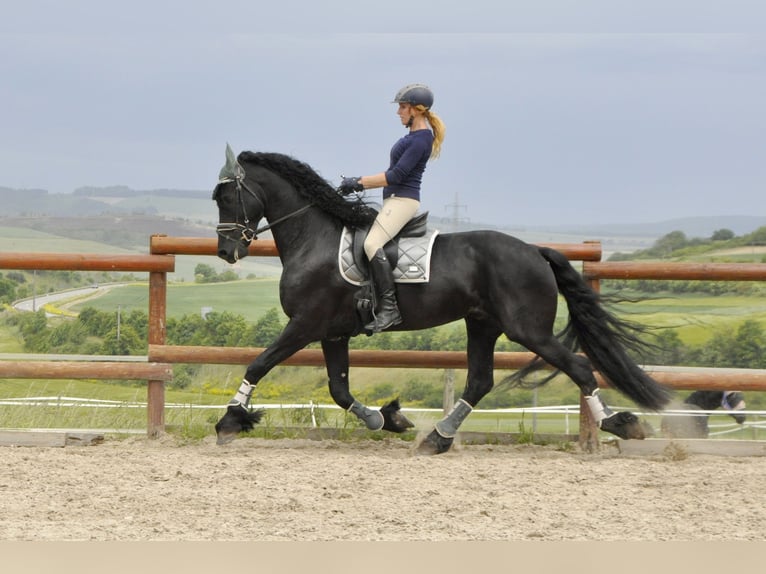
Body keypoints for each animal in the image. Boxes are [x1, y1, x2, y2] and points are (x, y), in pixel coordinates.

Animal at [211, 145, 671, 454]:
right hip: (483, 323)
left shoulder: (305, 324)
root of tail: (534, 250)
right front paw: (386, 418)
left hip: (528, 330)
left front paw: (230, 421)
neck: (314, 239)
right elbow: (339, 389)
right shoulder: (332, 332)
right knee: (480, 380)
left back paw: (621, 424)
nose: (227, 252)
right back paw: (437, 437)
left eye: (227, 197)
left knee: (578, 366)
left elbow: (258, 364)